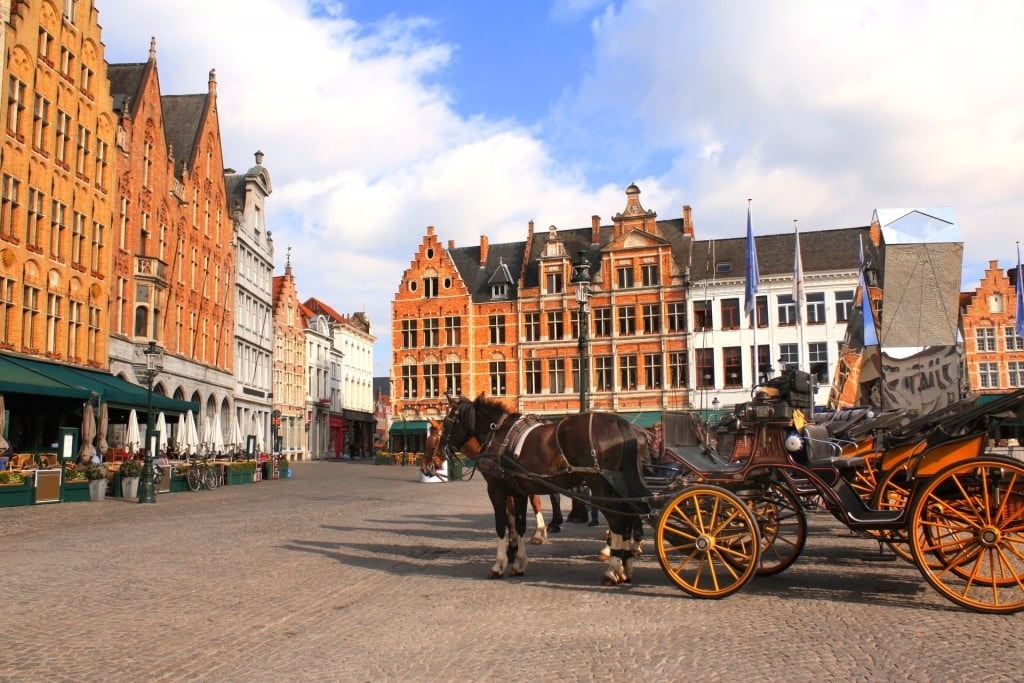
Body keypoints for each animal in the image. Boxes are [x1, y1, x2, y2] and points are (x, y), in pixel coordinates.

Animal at [438, 395, 647, 581]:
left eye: (447, 422)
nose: (441, 451)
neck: (498, 434)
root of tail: (619, 422)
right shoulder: (518, 491)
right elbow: (519, 525)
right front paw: (519, 563)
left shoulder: (496, 490)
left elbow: (500, 526)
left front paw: (498, 565)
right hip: (617, 486)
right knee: (628, 519)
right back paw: (625, 566)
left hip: (600, 486)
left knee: (618, 521)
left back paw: (613, 570)